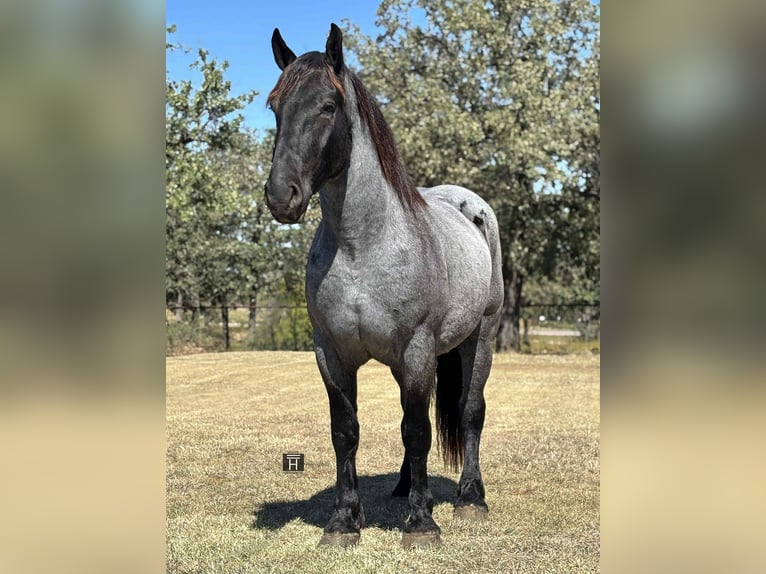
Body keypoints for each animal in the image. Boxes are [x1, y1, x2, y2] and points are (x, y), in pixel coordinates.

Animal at [263, 23, 504, 548]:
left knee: (469, 411)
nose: (281, 195)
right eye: (274, 106)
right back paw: (406, 487)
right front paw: (343, 522)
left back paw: (470, 499)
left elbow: (419, 429)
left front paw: (421, 526)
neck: (362, 247)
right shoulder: (331, 353)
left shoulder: (416, 349)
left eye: (327, 106)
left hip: (481, 336)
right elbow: (347, 432)